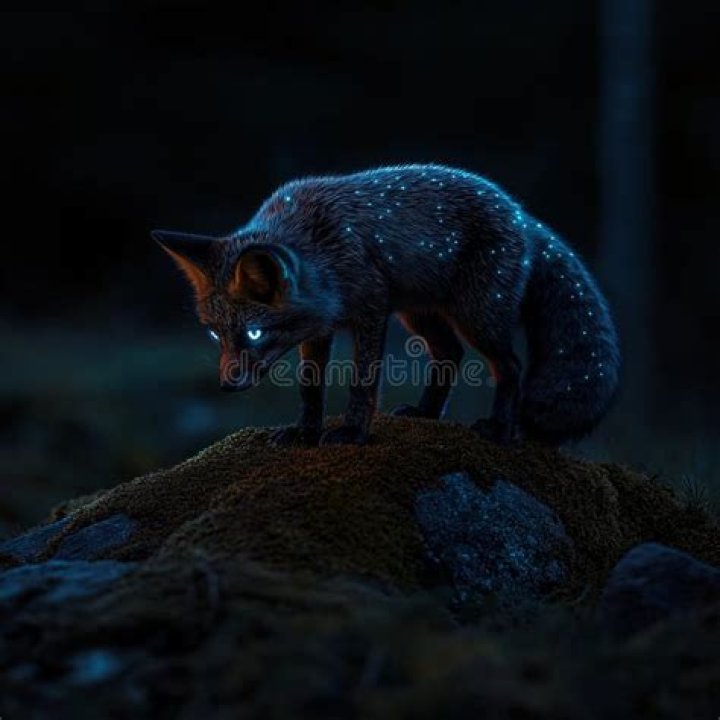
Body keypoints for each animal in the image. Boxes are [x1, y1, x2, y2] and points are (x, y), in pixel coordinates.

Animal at [153, 163, 620, 447]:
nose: (227, 385)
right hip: (419, 316)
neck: (321, 245)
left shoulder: (371, 311)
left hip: (477, 317)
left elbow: (362, 383)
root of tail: (523, 215)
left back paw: (500, 429)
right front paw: (305, 432)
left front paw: (353, 432)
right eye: (215, 334)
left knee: (510, 367)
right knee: (450, 354)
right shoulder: (320, 328)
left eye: (253, 332)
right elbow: (310, 386)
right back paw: (427, 412)